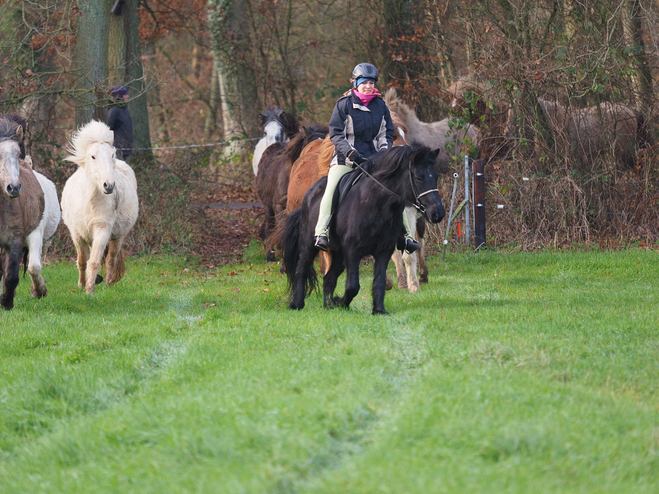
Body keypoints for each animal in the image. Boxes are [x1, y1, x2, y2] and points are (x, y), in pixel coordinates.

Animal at [62, 120, 139, 294]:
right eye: (93, 156)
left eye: (112, 155)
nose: (109, 185)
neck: (89, 201)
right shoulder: (77, 234)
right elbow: (82, 261)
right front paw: (81, 285)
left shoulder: (102, 230)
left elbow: (94, 261)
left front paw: (89, 290)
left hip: (118, 237)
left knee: (111, 259)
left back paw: (108, 284)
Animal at [282, 144, 446, 312]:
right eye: (419, 177)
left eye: (436, 176)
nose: (438, 213)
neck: (376, 203)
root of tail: (309, 193)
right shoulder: (353, 250)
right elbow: (353, 286)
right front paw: (341, 302)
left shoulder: (383, 250)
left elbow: (379, 282)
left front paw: (378, 310)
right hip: (308, 244)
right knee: (301, 270)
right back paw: (297, 304)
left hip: (339, 254)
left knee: (329, 278)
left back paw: (328, 306)